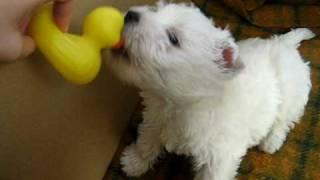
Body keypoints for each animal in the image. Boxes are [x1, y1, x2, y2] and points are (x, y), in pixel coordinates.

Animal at [109, 1, 314, 180]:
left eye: (173, 38)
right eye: (155, 10)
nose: (130, 15)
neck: (179, 104)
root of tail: (283, 43)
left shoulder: (220, 157)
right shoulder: (155, 118)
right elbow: (147, 140)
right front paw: (134, 162)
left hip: (291, 92)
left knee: (284, 119)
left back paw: (271, 142)